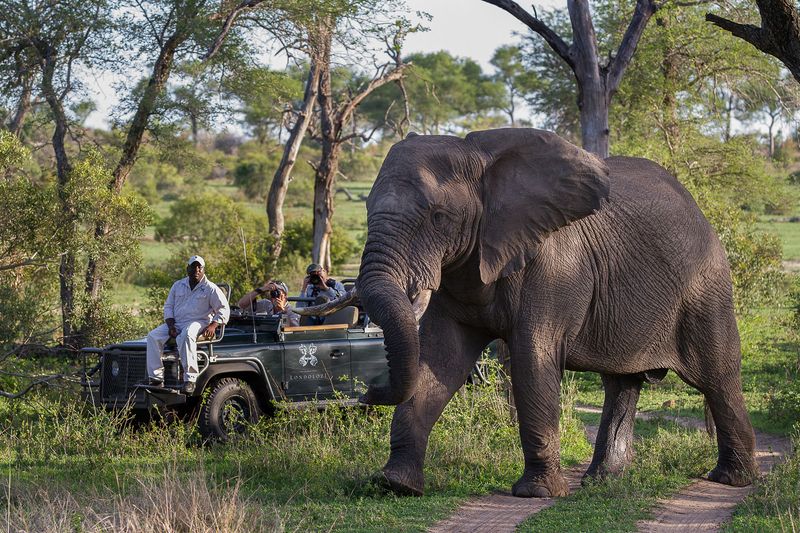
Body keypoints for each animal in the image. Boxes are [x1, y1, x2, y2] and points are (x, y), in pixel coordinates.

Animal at [309, 128, 758, 498]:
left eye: (438, 217)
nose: (367, 392)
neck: (481, 159)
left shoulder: (554, 266)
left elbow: (532, 358)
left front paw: (536, 494)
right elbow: (439, 361)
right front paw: (396, 484)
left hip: (706, 285)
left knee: (717, 377)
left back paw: (732, 480)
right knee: (621, 383)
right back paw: (601, 482)